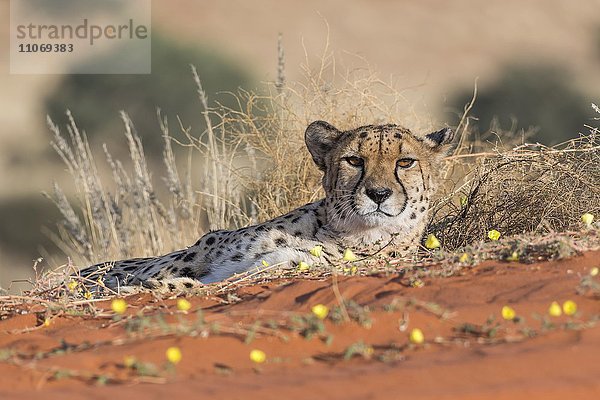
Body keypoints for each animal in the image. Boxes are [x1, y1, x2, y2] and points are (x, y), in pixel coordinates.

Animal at [81, 120, 454, 292]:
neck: (349, 233)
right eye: (354, 160)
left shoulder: (275, 269)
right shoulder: (207, 245)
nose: (378, 194)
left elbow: (192, 285)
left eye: (405, 162)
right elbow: (158, 268)